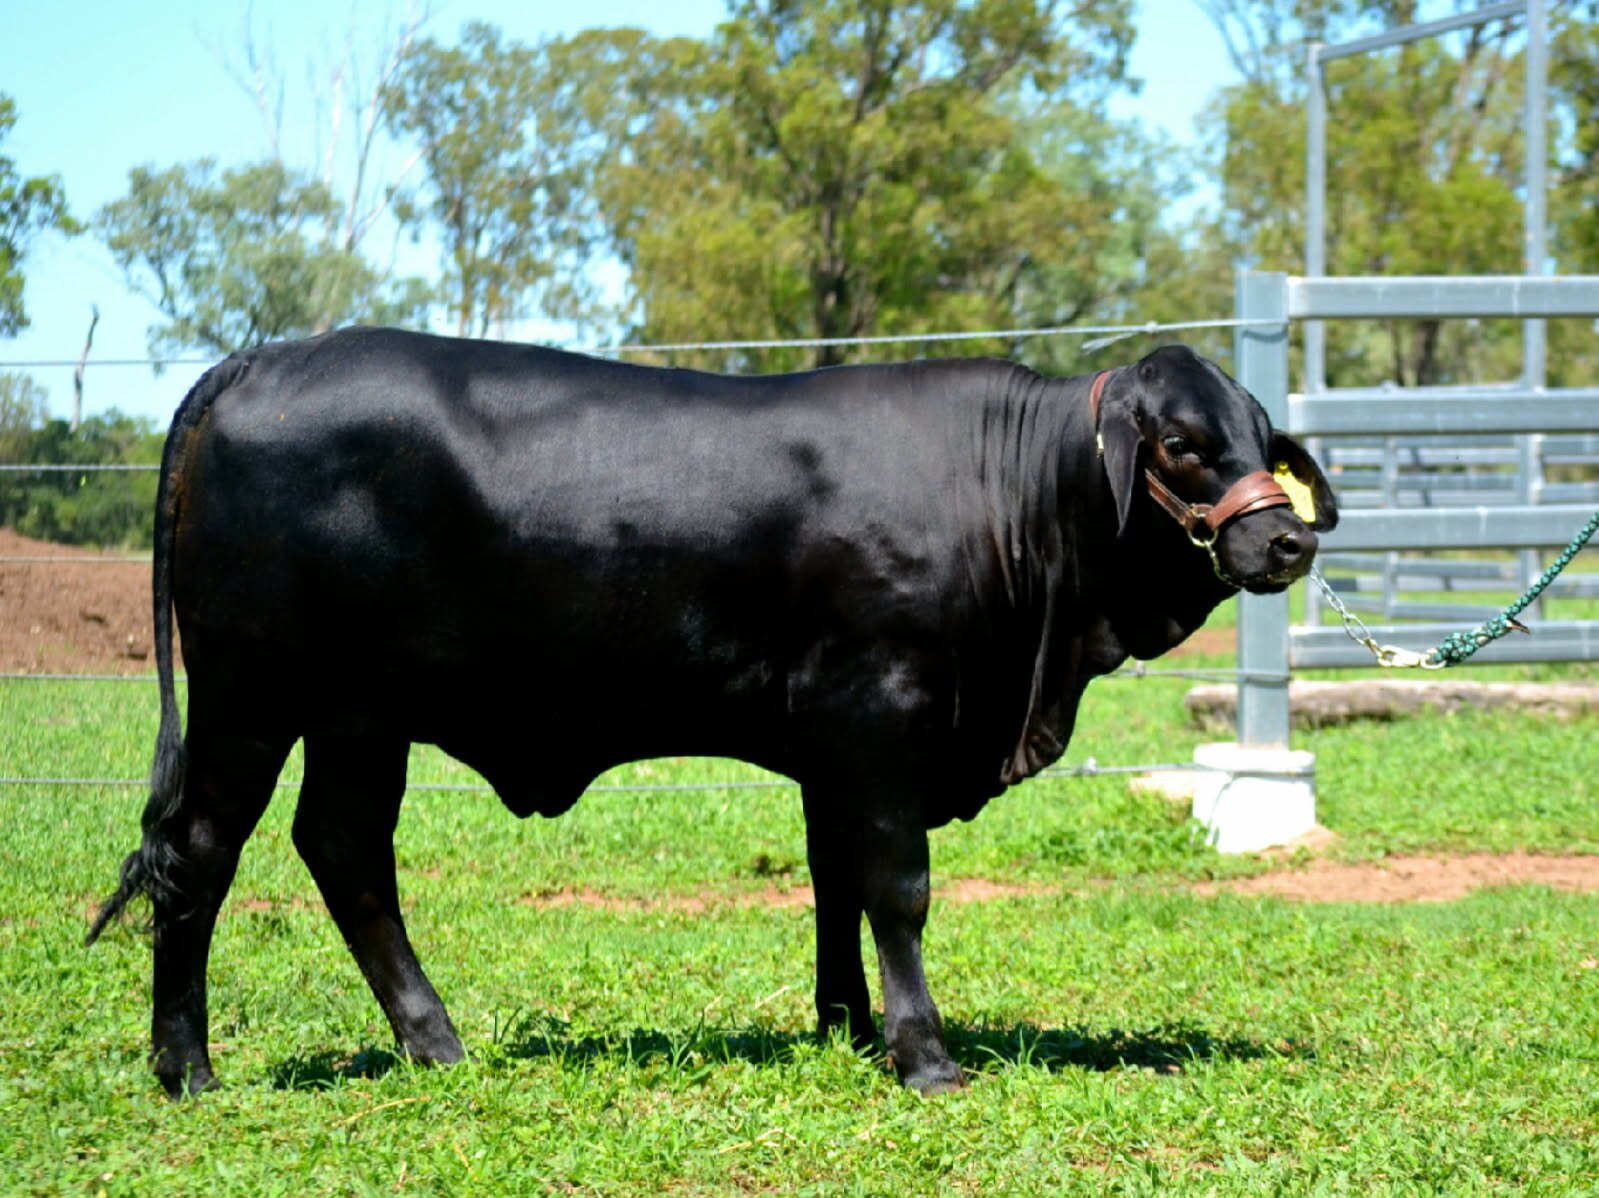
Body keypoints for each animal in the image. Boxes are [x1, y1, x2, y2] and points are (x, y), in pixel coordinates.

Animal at [87, 330, 1337, 1097]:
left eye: (1260, 436)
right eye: (1179, 441)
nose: (1286, 540)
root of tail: (262, 359)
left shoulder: (836, 747)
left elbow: (836, 881)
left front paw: (844, 1025)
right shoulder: (881, 719)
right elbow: (898, 888)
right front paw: (922, 1052)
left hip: (360, 713)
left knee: (345, 850)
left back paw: (435, 1041)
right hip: (252, 694)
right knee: (199, 855)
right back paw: (187, 1068)